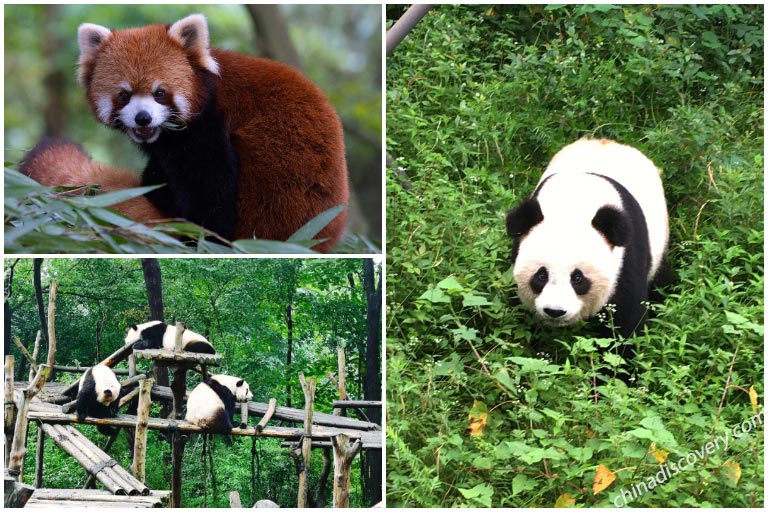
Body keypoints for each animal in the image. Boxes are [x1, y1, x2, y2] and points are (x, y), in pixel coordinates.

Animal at [20, 13, 352, 250]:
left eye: (160, 93)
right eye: (124, 95)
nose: (142, 118)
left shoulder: (207, 130)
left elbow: (210, 202)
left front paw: (200, 234)